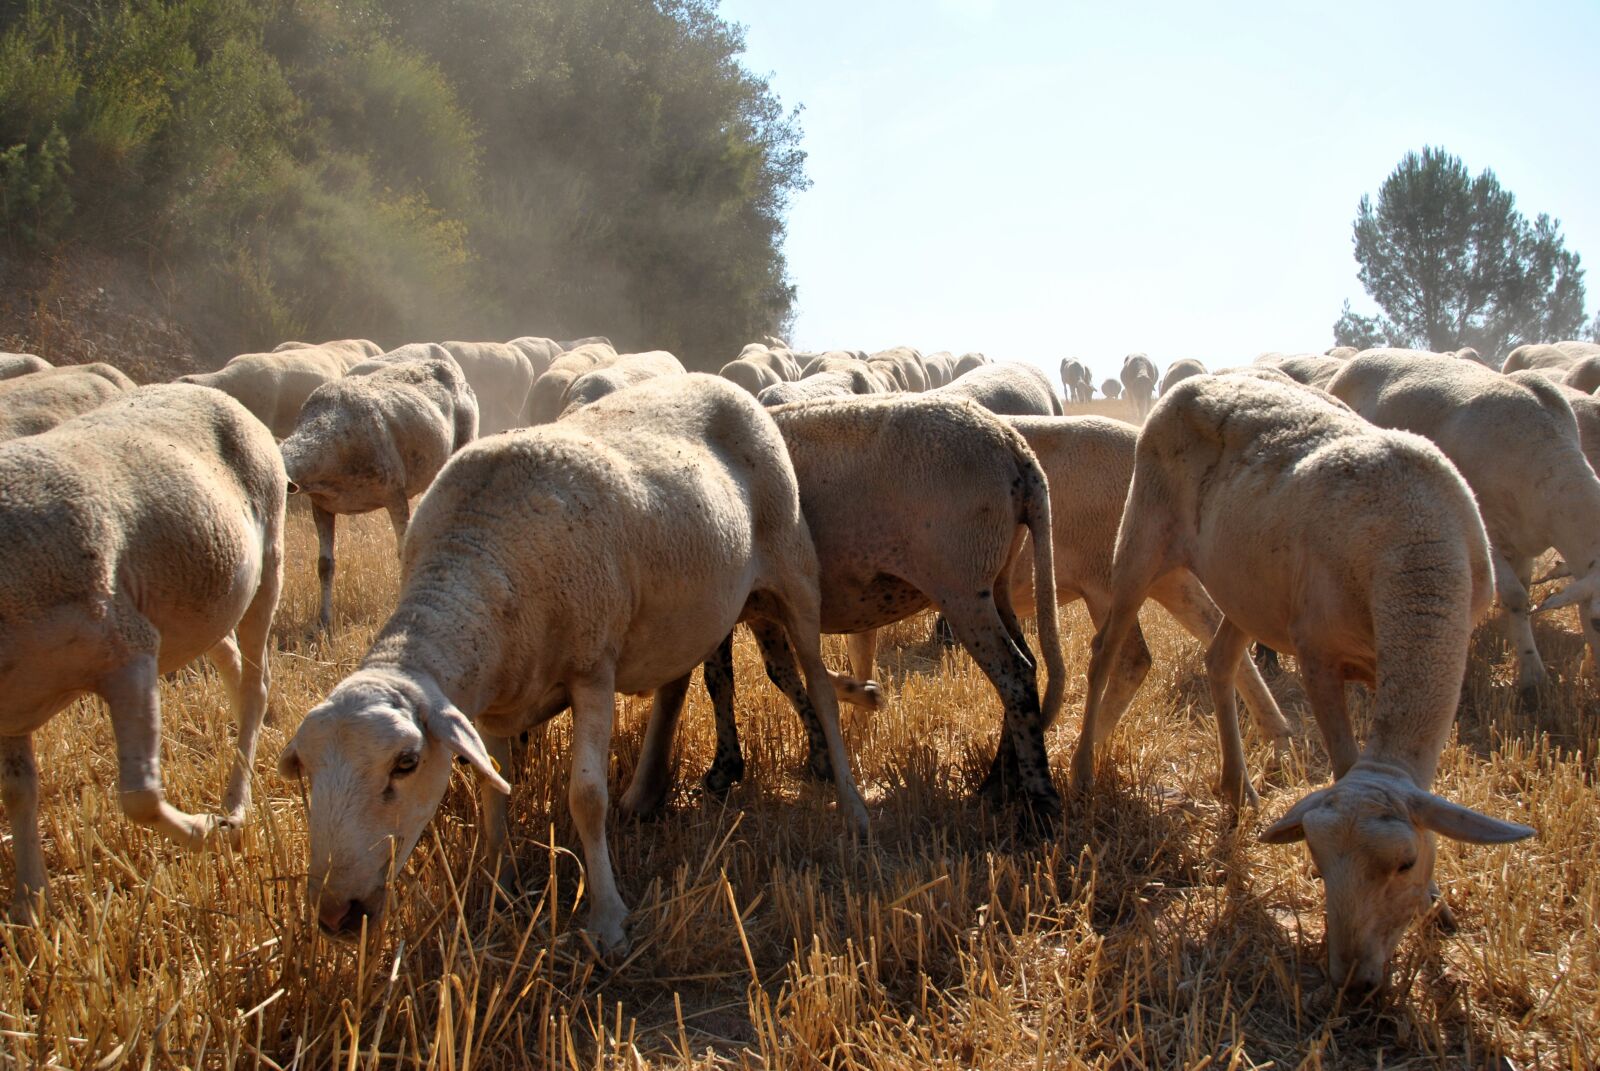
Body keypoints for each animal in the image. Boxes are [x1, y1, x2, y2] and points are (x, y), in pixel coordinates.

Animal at [0, 385, 284, 919]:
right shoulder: (12, 708)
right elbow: (19, 790)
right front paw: (30, 903)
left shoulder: (128, 650)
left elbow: (140, 795)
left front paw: (208, 831)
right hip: (206, 603)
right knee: (233, 667)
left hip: (268, 565)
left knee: (256, 685)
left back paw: (234, 808)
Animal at [277, 375, 866, 951]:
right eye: (305, 769)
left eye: (406, 762)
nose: (336, 915)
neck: (476, 563)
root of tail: (730, 386)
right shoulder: (489, 705)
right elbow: (493, 792)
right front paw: (498, 884)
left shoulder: (592, 670)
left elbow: (586, 798)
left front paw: (608, 920)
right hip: (686, 608)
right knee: (677, 685)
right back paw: (646, 794)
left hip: (794, 571)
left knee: (819, 687)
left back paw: (852, 804)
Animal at [689, 393, 1069, 817]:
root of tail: (1015, 447)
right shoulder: (762, 608)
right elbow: (782, 673)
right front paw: (824, 748)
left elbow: (720, 681)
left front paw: (722, 771)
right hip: (995, 579)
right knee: (1027, 664)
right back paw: (998, 782)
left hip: (961, 584)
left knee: (1014, 674)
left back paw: (1038, 797)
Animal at [1072, 372, 1532, 992]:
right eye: (1317, 859)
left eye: (1406, 862)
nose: (1352, 979)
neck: (1415, 551)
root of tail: (1200, 378)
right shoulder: (1318, 656)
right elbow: (1343, 760)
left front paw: (1438, 907)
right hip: (1140, 536)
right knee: (1106, 653)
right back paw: (1083, 769)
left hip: (1245, 585)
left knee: (1219, 659)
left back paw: (1237, 789)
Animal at [1328, 352, 1600, 696]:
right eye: (1597, 622)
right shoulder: (1487, 537)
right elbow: (1515, 596)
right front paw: (1532, 676)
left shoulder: (1524, 543)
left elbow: (1522, 597)